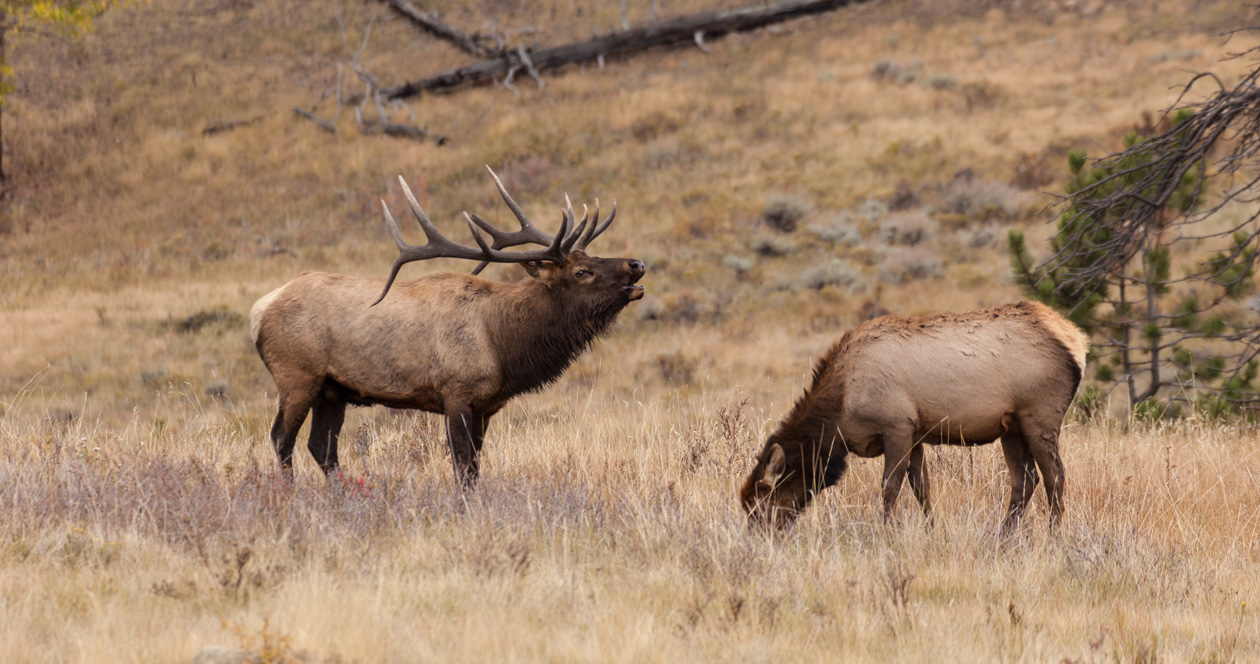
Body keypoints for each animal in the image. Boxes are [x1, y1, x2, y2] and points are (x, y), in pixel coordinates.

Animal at [250, 166, 646, 486]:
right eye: (582, 272)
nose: (637, 264)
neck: (503, 345)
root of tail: (258, 311)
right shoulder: (456, 392)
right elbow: (462, 466)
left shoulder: (486, 406)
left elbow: (475, 468)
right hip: (297, 375)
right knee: (282, 439)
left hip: (331, 390)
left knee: (321, 447)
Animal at [739, 301, 1088, 534]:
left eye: (761, 503)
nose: (758, 541)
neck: (840, 412)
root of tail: (1078, 342)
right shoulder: (916, 432)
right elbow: (922, 488)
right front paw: (932, 532)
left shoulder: (897, 426)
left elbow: (890, 486)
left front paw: (886, 533)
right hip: (1012, 427)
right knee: (1024, 480)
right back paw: (1003, 537)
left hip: (1039, 416)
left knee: (1055, 476)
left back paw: (1053, 538)